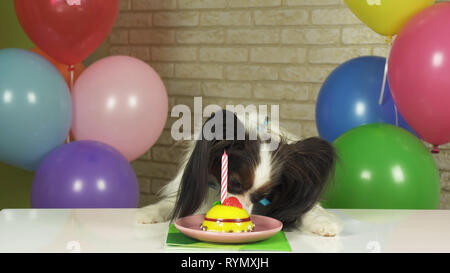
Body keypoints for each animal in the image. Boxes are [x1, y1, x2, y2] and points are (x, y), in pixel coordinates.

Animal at [137, 109, 342, 236]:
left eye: (263, 198)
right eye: (234, 184)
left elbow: (309, 210)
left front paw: (324, 222)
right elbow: (168, 204)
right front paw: (147, 213)